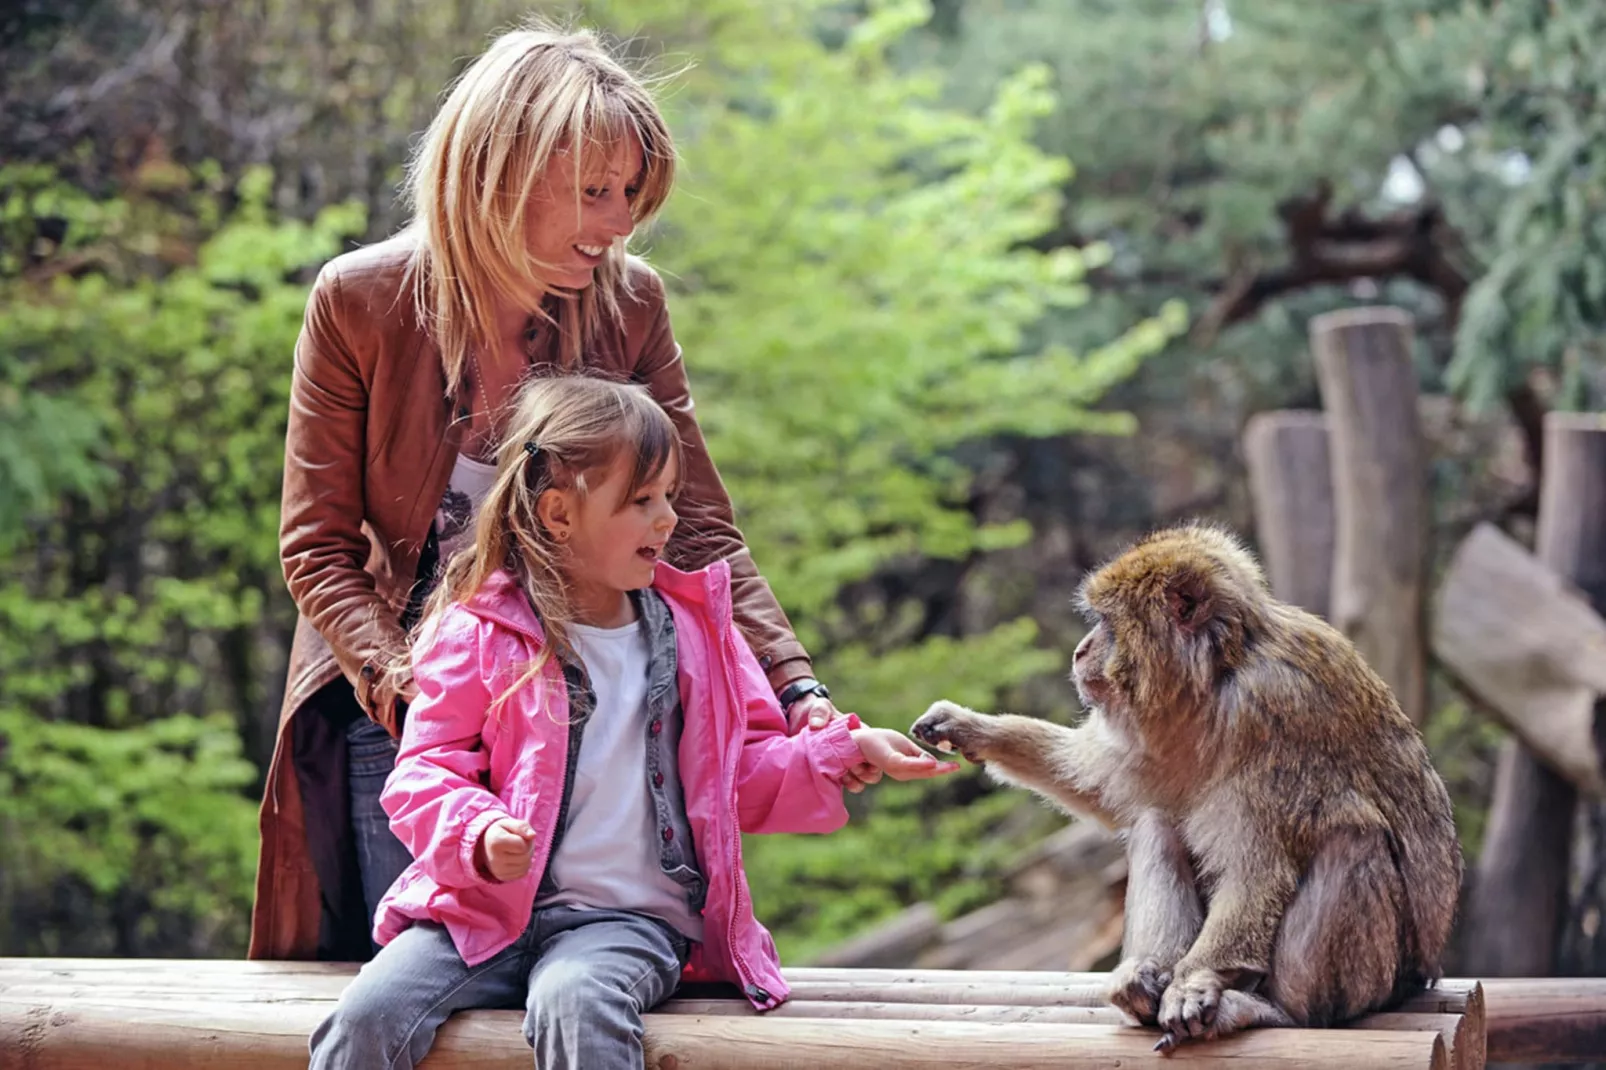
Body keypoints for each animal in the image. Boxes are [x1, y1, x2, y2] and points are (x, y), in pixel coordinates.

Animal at [912, 523, 1464, 1047]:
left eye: (1106, 623)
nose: (1079, 651)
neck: (1219, 673)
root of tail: (1423, 976)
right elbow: (1101, 784)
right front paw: (970, 728)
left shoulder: (1273, 711)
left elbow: (1257, 869)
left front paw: (1196, 981)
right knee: (1157, 824)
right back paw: (1144, 981)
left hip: (1378, 979)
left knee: (1352, 840)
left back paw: (1275, 1011)